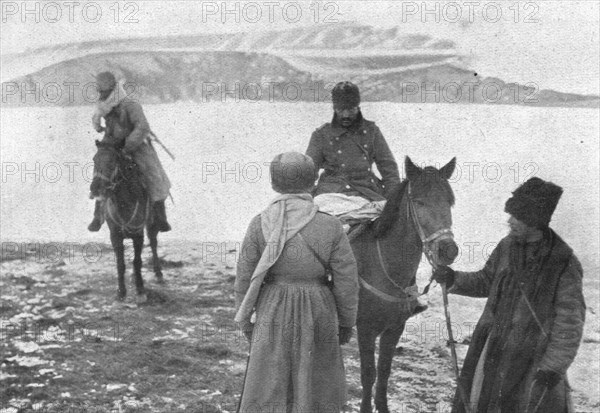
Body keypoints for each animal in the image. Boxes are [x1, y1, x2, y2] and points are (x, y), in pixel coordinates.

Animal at [91, 140, 164, 300]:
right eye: (94, 160)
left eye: (112, 162)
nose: (95, 188)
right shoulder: (115, 236)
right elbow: (120, 263)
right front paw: (121, 291)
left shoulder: (138, 235)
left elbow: (137, 261)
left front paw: (140, 287)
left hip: (151, 225)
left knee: (153, 243)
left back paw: (158, 272)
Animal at [350, 155, 458, 412]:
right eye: (418, 202)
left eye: (449, 202)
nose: (449, 250)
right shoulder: (366, 329)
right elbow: (368, 374)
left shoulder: (394, 328)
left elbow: (384, 371)